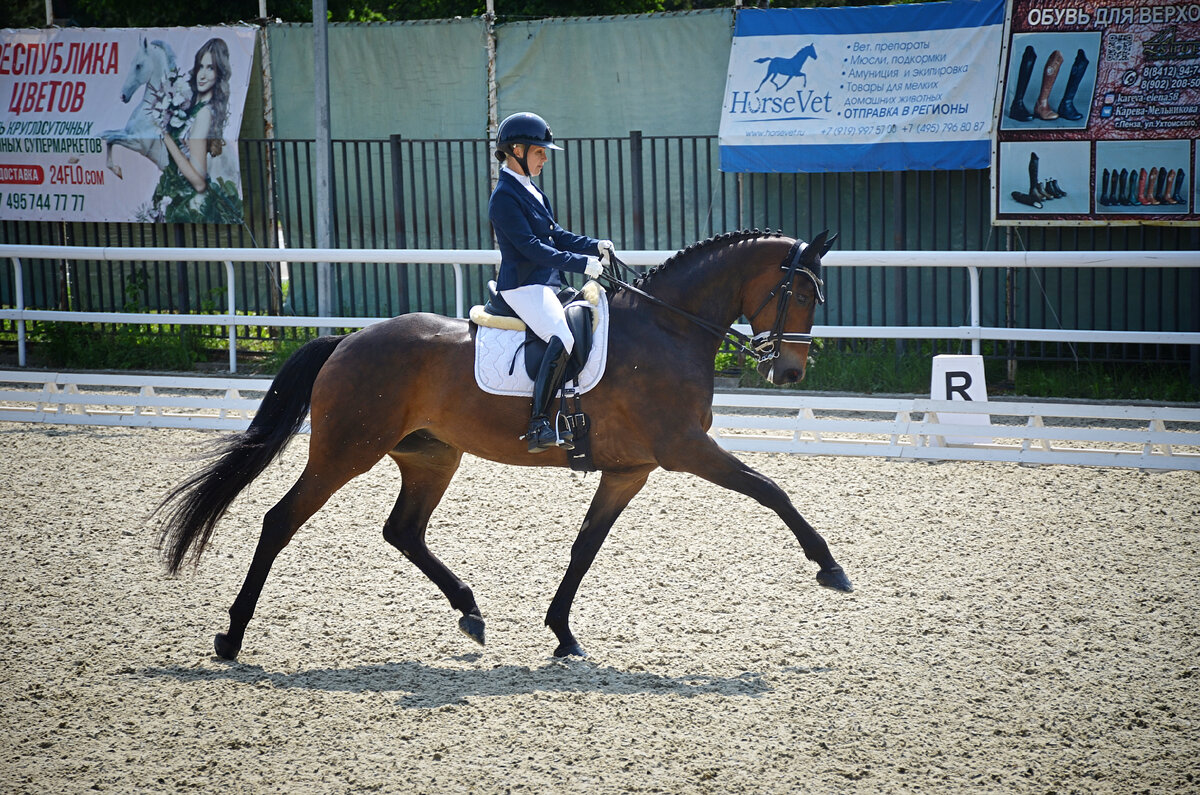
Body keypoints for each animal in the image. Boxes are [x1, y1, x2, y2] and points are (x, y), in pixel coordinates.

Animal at [157, 229, 854, 658]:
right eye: (799, 292)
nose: (790, 373)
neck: (668, 328)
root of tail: (349, 341)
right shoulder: (685, 448)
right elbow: (771, 490)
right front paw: (831, 568)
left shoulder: (630, 469)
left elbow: (584, 547)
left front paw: (563, 634)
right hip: (345, 452)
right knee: (280, 521)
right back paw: (231, 637)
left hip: (432, 455)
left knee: (402, 530)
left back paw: (470, 610)